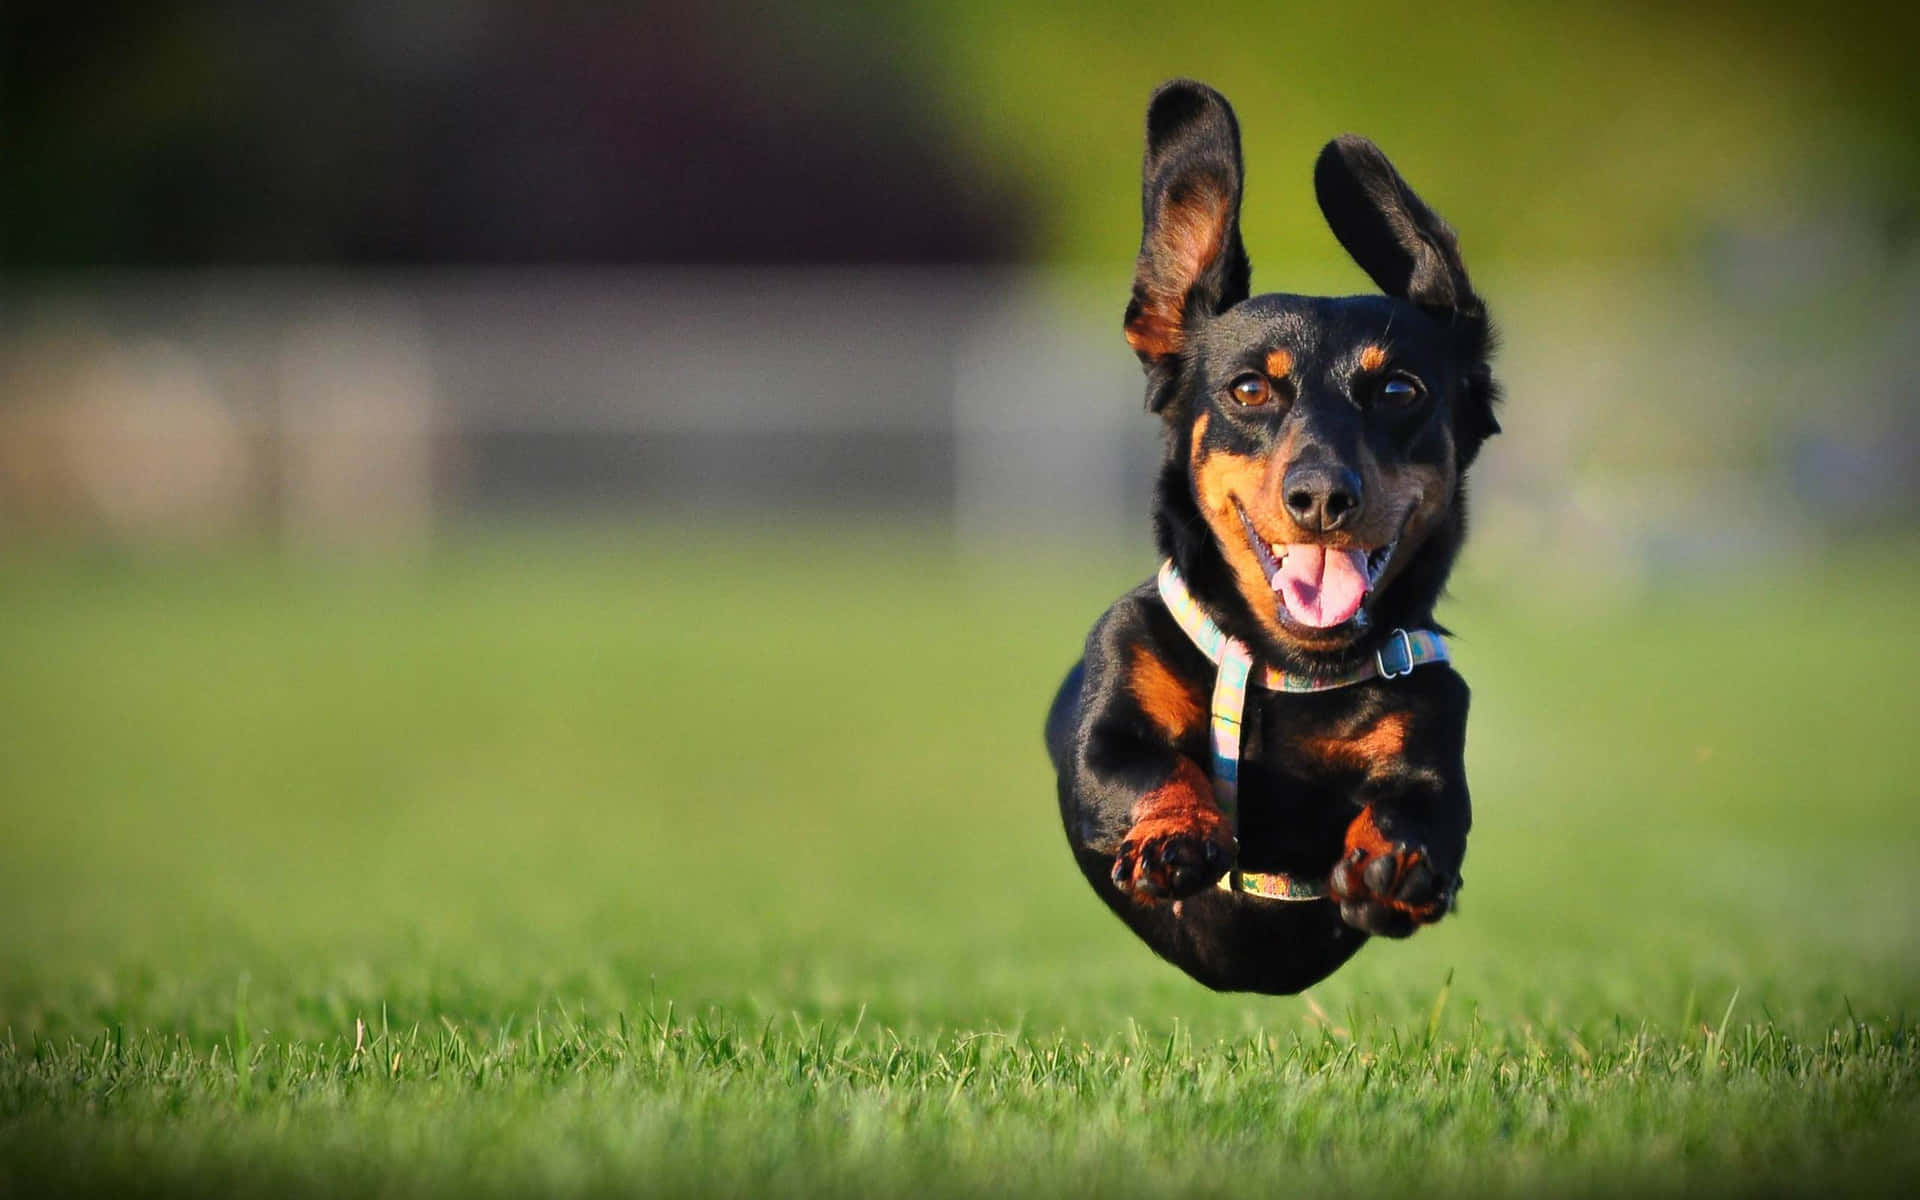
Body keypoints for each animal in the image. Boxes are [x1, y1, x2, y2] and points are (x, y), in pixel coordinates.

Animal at [1052, 82, 1497, 990]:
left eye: (1400, 390)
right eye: (1250, 389)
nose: (1323, 495)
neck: (1291, 668)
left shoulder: (1434, 731)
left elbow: (1424, 809)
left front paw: (1395, 860)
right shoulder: (1107, 727)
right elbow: (1146, 765)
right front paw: (1174, 834)